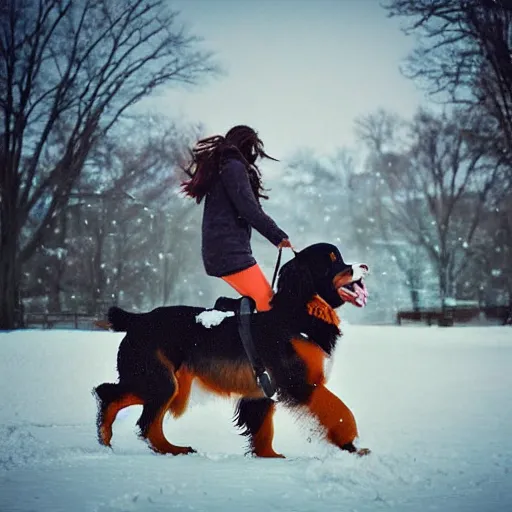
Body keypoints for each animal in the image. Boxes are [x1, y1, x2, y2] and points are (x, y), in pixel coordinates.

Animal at [94, 242, 370, 458]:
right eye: (333, 261)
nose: (365, 266)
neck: (298, 312)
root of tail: (137, 319)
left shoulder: (262, 391)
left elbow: (263, 429)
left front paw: (270, 457)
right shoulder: (299, 382)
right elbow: (340, 412)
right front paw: (353, 446)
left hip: (161, 380)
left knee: (116, 397)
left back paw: (111, 440)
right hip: (160, 379)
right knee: (142, 417)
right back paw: (169, 449)